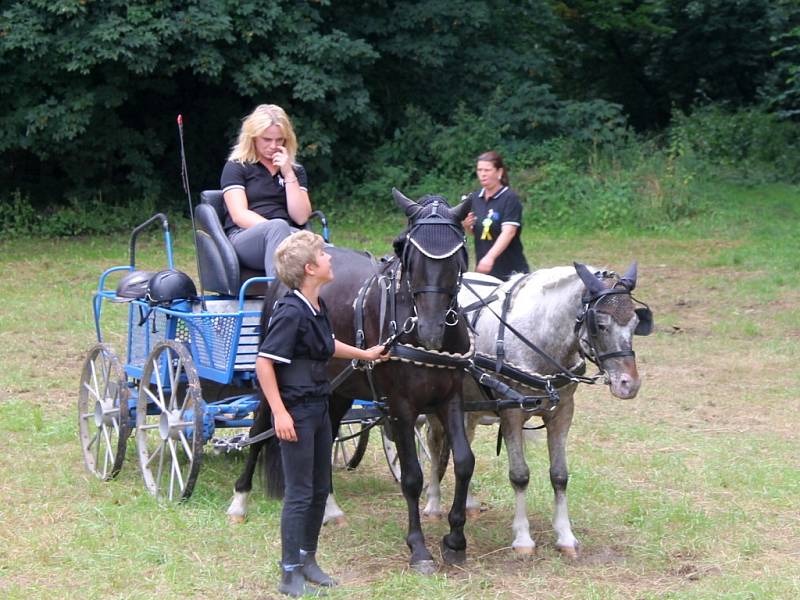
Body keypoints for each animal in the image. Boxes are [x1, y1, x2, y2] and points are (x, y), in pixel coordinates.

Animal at [225, 190, 476, 576]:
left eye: (457, 256)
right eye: (409, 254)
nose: (431, 329)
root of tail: (280, 282)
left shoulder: (450, 399)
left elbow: (464, 462)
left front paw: (455, 540)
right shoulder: (401, 407)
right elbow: (412, 477)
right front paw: (419, 548)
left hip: (337, 390)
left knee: (325, 434)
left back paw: (329, 507)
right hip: (274, 382)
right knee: (259, 430)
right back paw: (240, 501)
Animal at [424, 262, 648, 556]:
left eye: (635, 323)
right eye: (600, 325)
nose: (629, 384)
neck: (539, 337)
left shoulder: (563, 412)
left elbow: (560, 475)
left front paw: (565, 536)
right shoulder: (512, 413)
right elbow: (520, 475)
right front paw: (522, 538)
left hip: (469, 406)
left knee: (464, 445)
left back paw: (468, 502)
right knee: (434, 444)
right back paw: (433, 503)